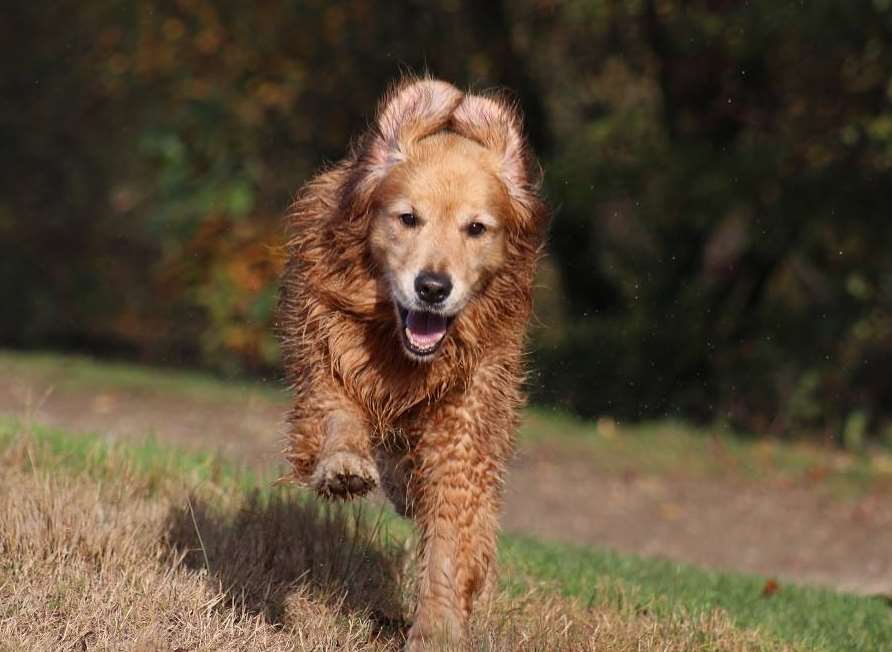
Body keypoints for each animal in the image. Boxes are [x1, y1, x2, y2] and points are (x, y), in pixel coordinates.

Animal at [278, 76, 548, 648]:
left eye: (476, 228)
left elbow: (452, 528)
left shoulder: (467, 417)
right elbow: (336, 415)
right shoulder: (326, 352)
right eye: (407, 218)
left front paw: (439, 627)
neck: (404, 352)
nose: (432, 287)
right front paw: (343, 466)